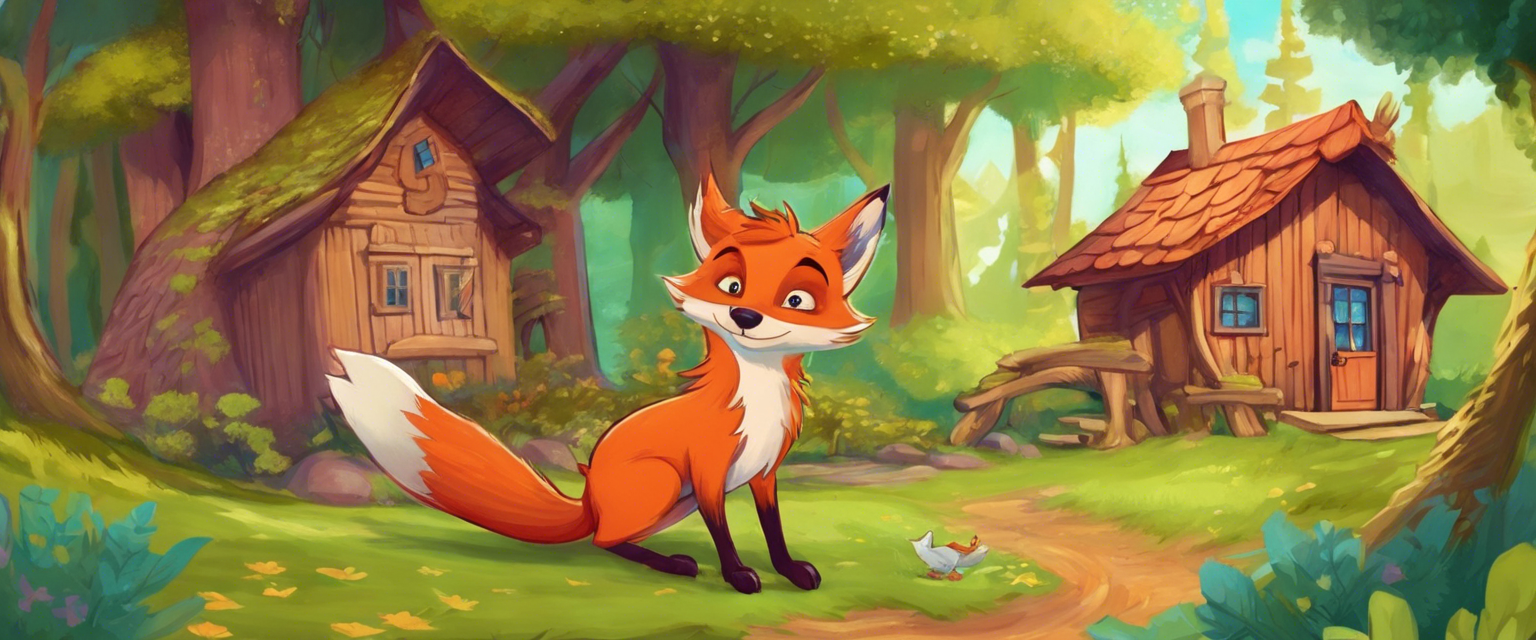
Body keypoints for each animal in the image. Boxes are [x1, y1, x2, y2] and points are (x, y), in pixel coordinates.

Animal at [326, 175, 889, 594]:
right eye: (731, 285)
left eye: (797, 300)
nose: (745, 316)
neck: (754, 397)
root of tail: (590, 498)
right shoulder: (707, 472)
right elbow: (725, 533)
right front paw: (736, 576)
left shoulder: (765, 472)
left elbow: (773, 529)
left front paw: (789, 570)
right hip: (664, 481)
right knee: (602, 541)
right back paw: (672, 563)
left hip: (674, 500)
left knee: (606, 537)